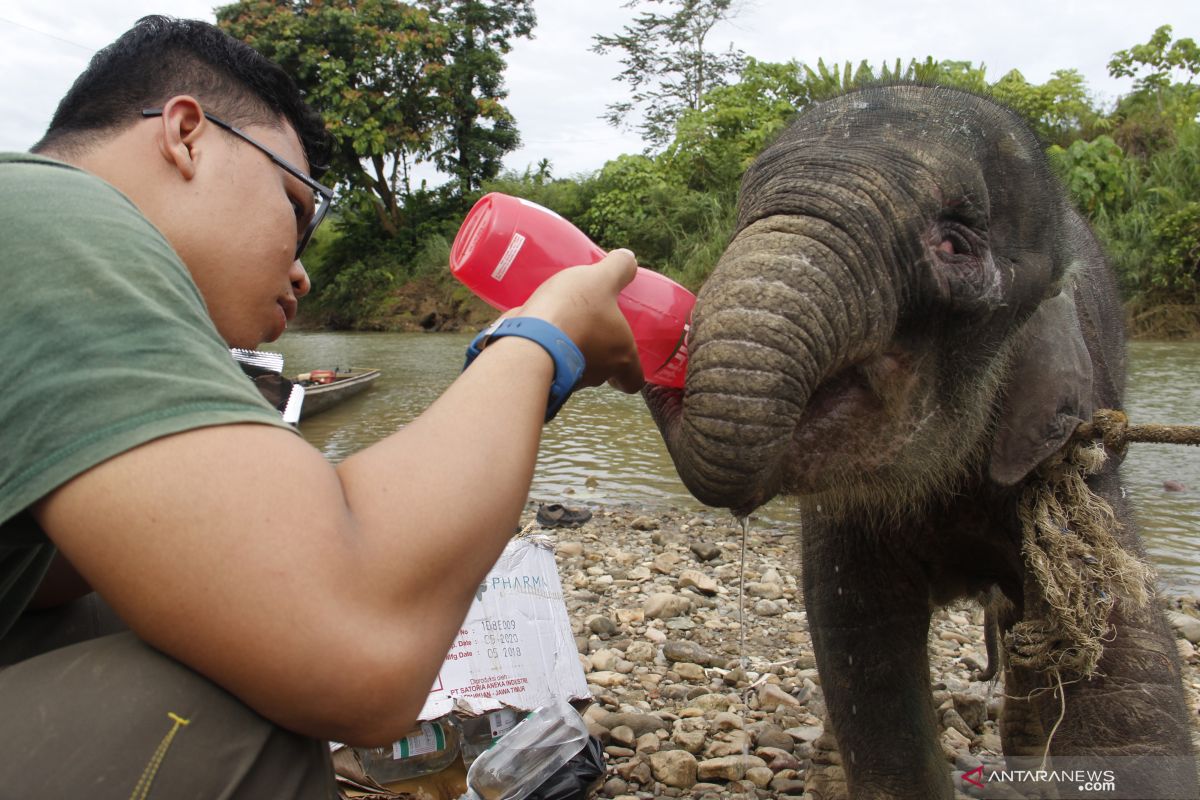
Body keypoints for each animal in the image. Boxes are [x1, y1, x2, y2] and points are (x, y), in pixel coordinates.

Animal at [648, 82, 1200, 800]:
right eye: (740, 219)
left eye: (956, 246)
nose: (663, 353)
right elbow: (860, 631)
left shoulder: (1075, 453)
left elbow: (1117, 660)